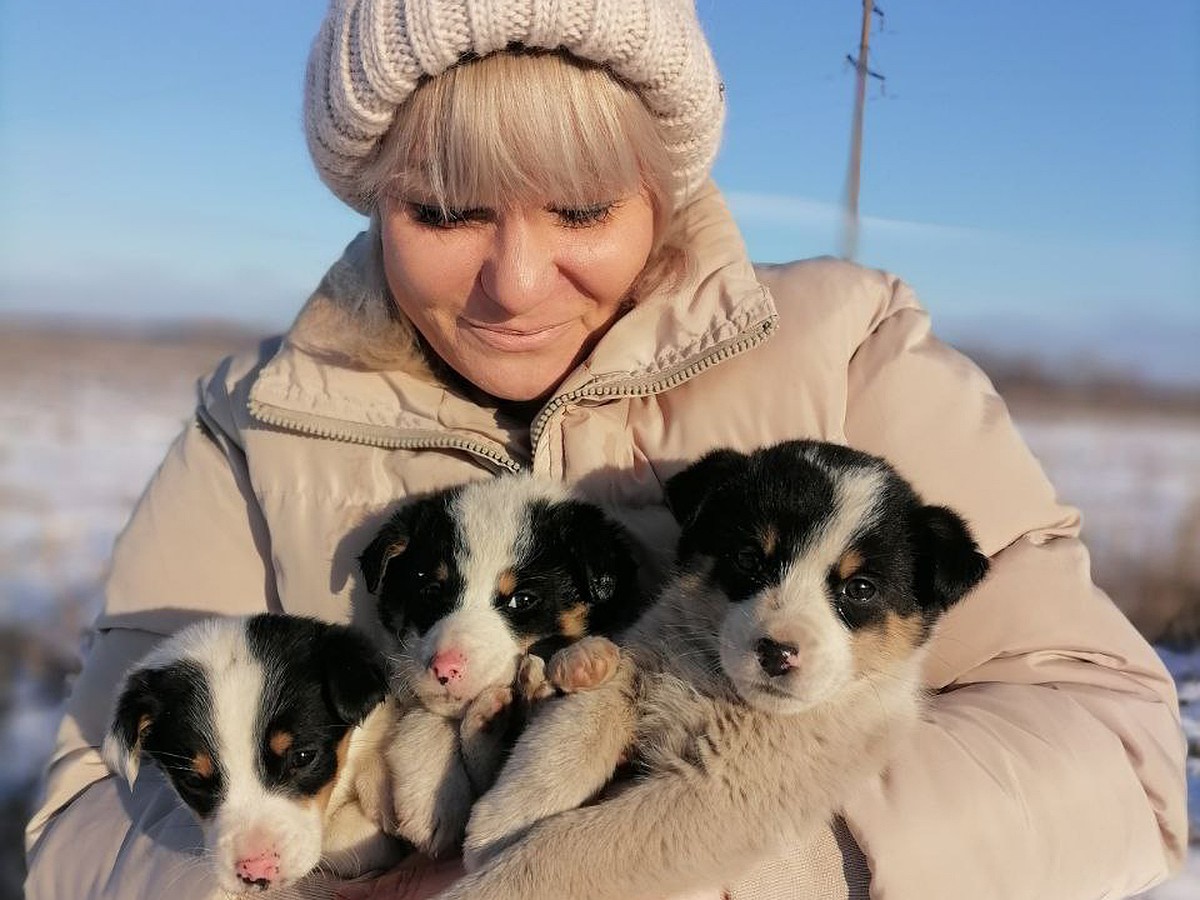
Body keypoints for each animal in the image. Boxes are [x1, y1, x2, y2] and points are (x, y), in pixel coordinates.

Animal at [357, 475, 648, 854]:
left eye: (521, 600)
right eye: (431, 591)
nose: (444, 669)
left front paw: (581, 658)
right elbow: (426, 715)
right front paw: (433, 803)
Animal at [446, 441, 988, 897]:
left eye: (860, 588)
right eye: (748, 557)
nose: (777, 652)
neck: (718, 690)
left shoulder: (722, 795)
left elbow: (569, 847)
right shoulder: (638, 659)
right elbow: (572, 729)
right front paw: (503, 819)